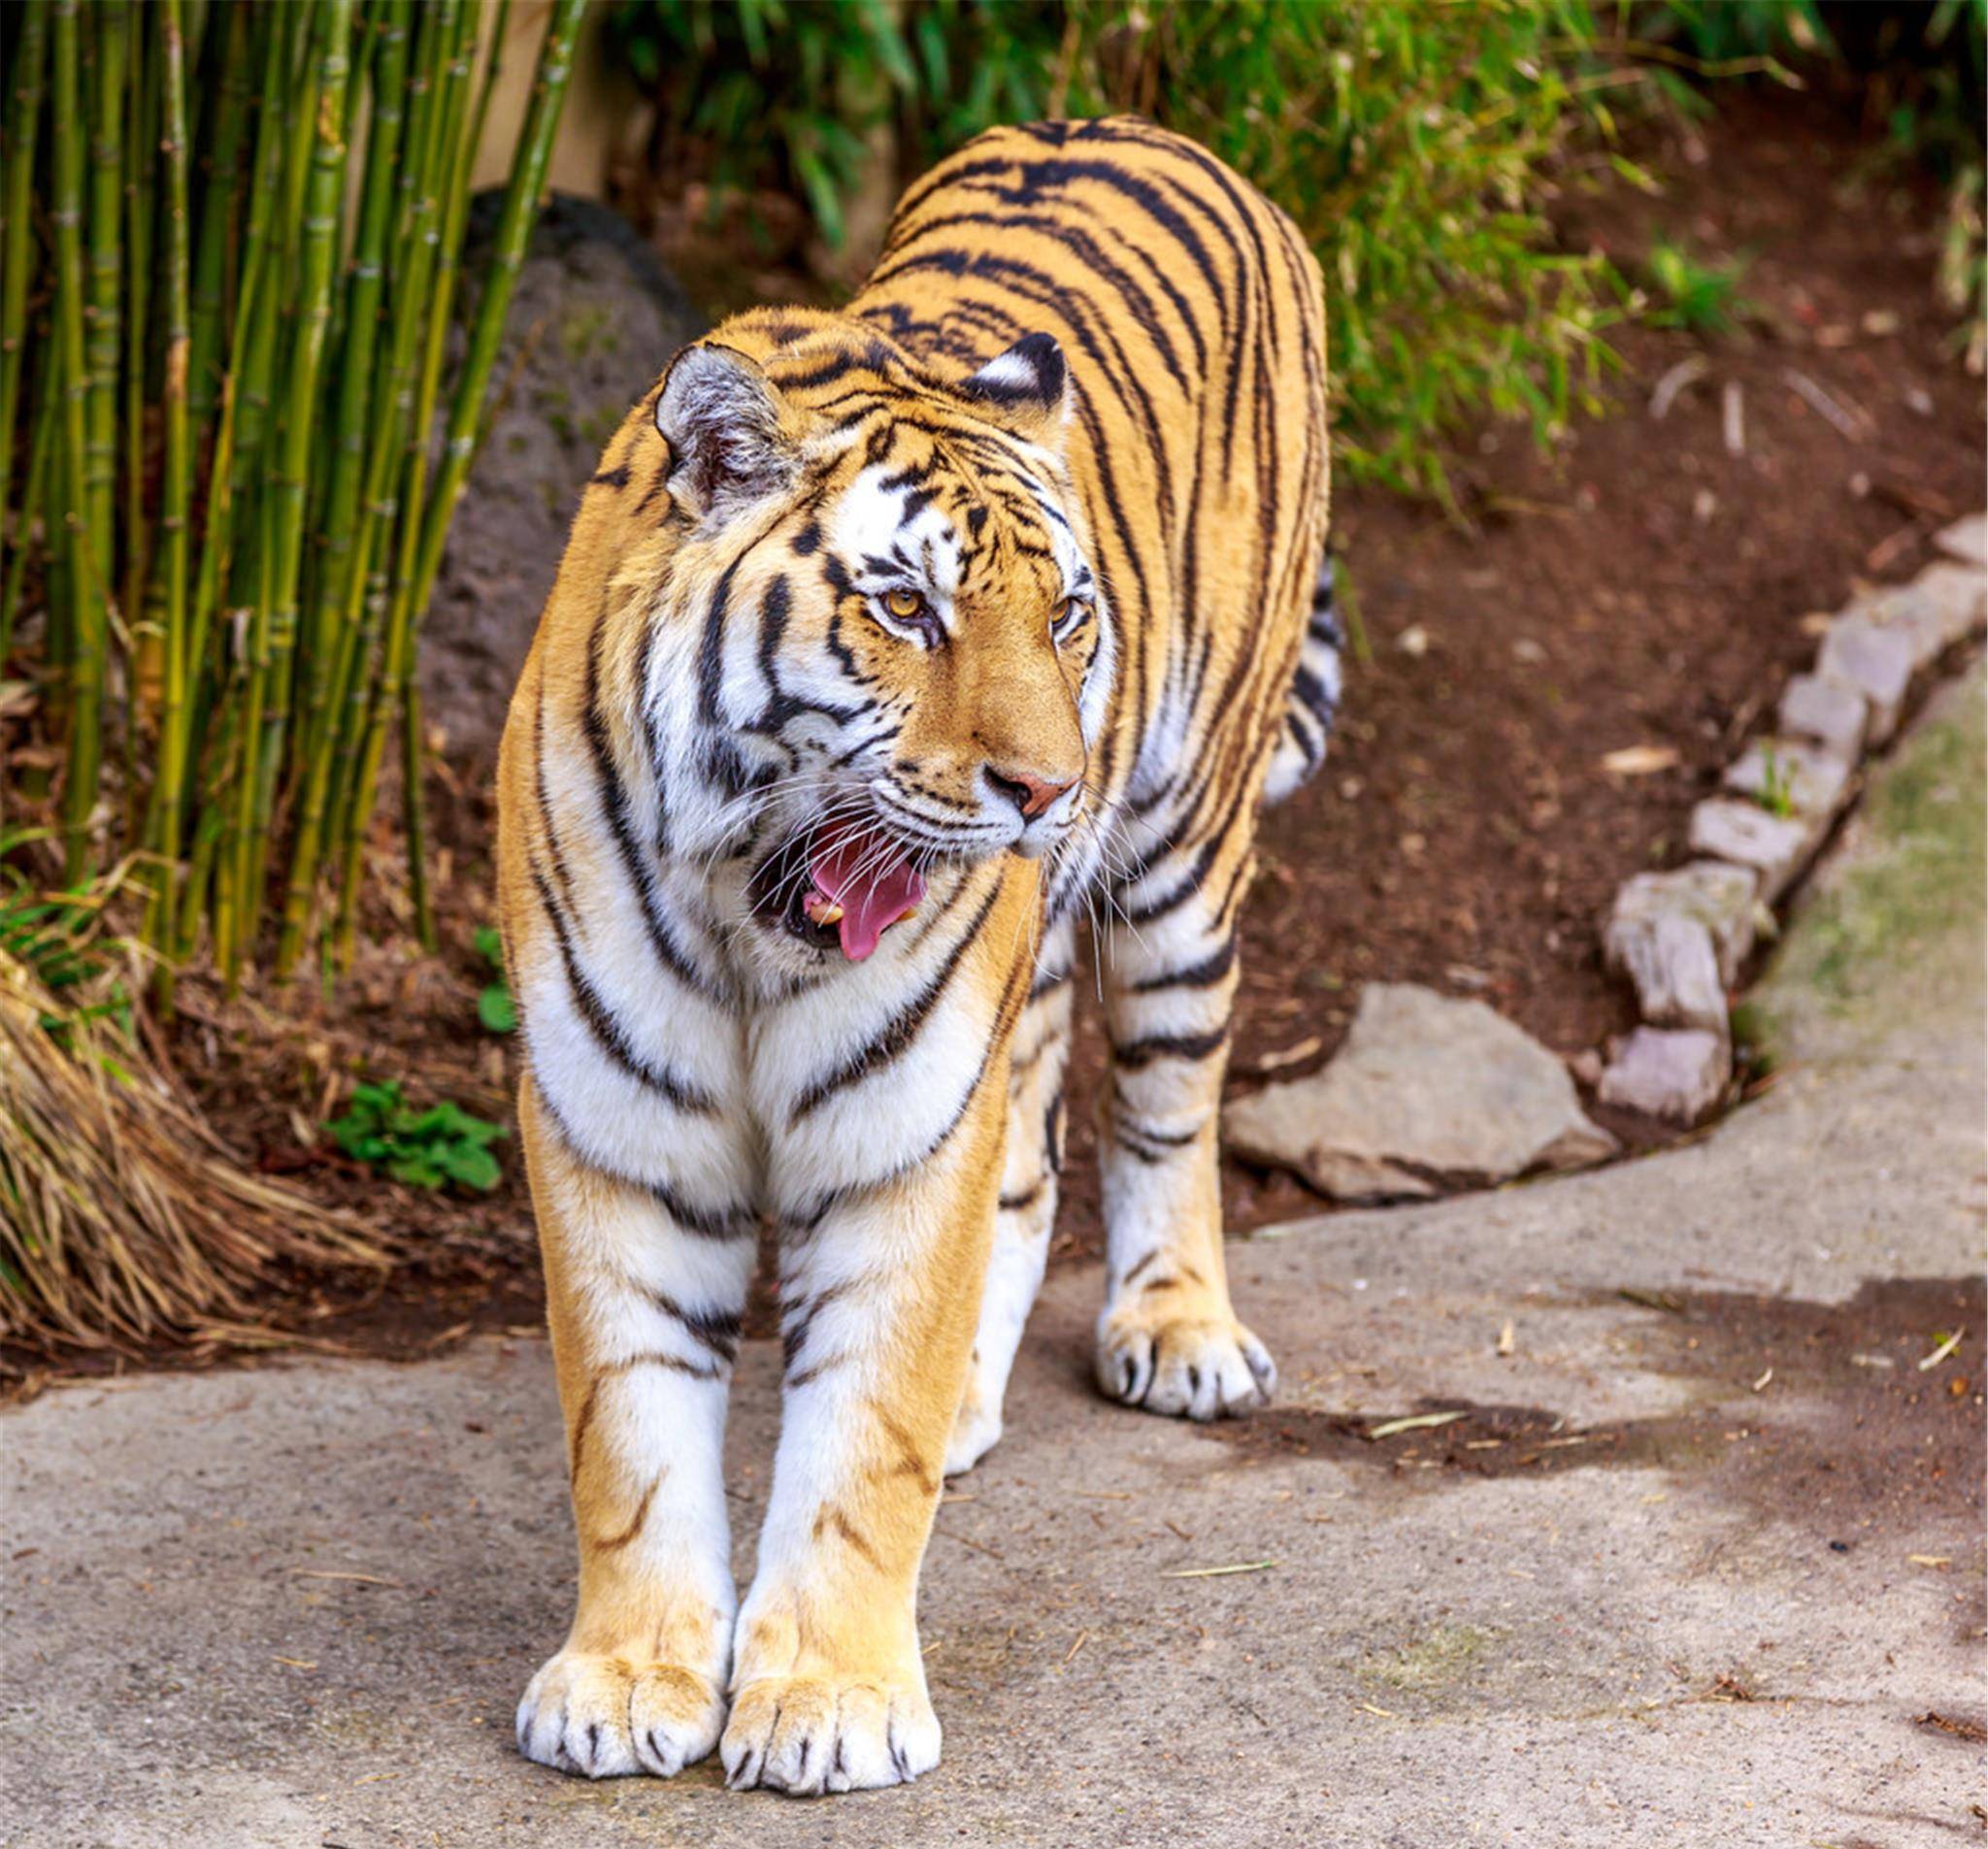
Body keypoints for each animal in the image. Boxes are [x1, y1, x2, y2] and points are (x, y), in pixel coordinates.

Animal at [492, 115, 1336, 1789]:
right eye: (904, 607)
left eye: (1065, 615)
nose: (1047, 790)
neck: (748, 901)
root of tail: (1147, 127)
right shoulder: (615, 1129)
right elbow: (627, 1429)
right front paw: (626, 1679)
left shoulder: (899, 1127)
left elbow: (860, 1441)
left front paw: (826, 1701)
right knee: (1031, 1156)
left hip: (1185, 855)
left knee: (1166, 1104)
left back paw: (1180, 1331)